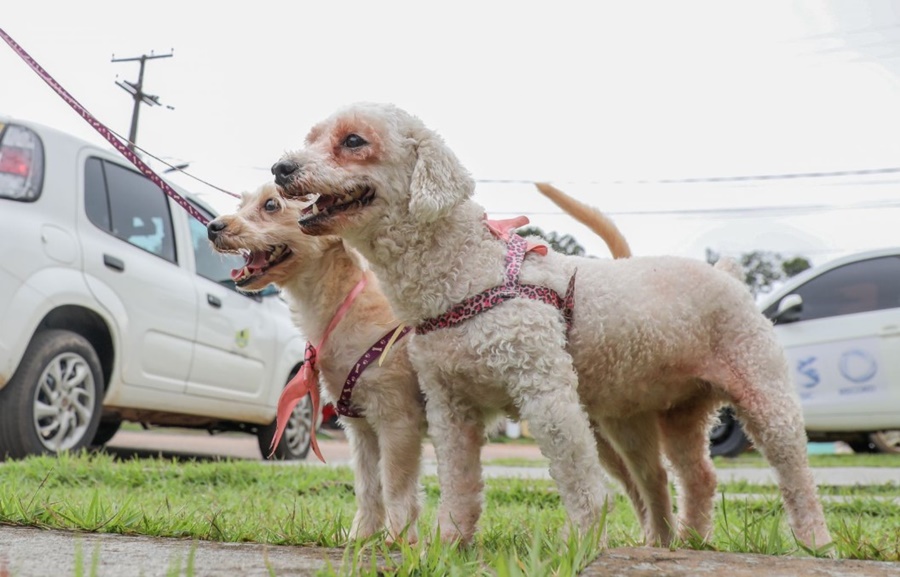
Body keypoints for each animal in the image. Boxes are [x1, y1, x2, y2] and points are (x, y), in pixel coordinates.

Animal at [270, 101, 832, 552]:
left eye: (354, 141)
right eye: (312, 137)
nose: (280, 167)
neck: (470, 272)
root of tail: (728, 275)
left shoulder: (544, 392)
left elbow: (578, 481)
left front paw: (580, 544)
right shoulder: (450, 406)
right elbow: (459, 482)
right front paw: (449, 543)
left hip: (761, 391)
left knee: (794, 471)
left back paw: (814, 541)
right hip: (662, 416)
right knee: (693, 477)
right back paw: (686, 542)